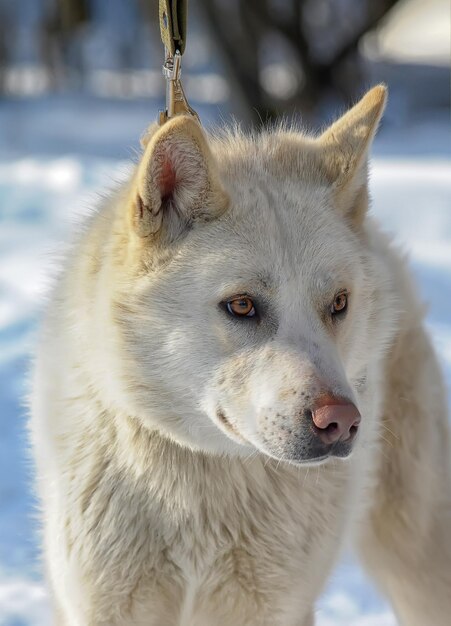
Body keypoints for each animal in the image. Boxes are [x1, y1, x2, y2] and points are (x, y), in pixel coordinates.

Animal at [30, 84, 451, 624]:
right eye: (242, 305)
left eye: (338, 303)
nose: (341, 420)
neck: (201, 482)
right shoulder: (105, 605)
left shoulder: (272, 608)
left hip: (418, 561)